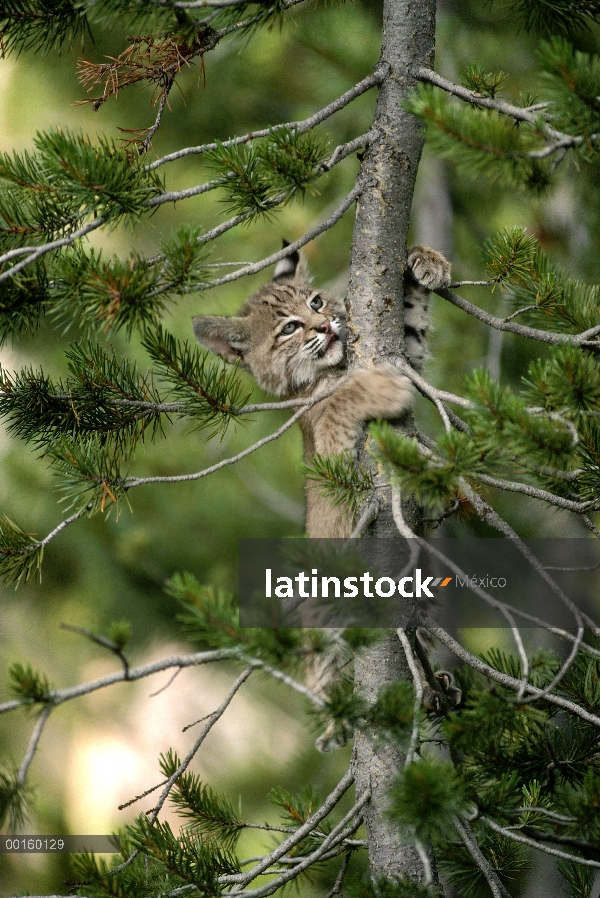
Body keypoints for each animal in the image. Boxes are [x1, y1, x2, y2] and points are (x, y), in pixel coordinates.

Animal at [192, 245, 450, 536]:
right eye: (289, 328)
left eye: (315, 303)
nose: (325, 325)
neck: (333, 368)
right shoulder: (333, 470)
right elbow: (338, 405)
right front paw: (382, 388)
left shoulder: (409, 358)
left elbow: (411, 322)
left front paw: (424, 259)